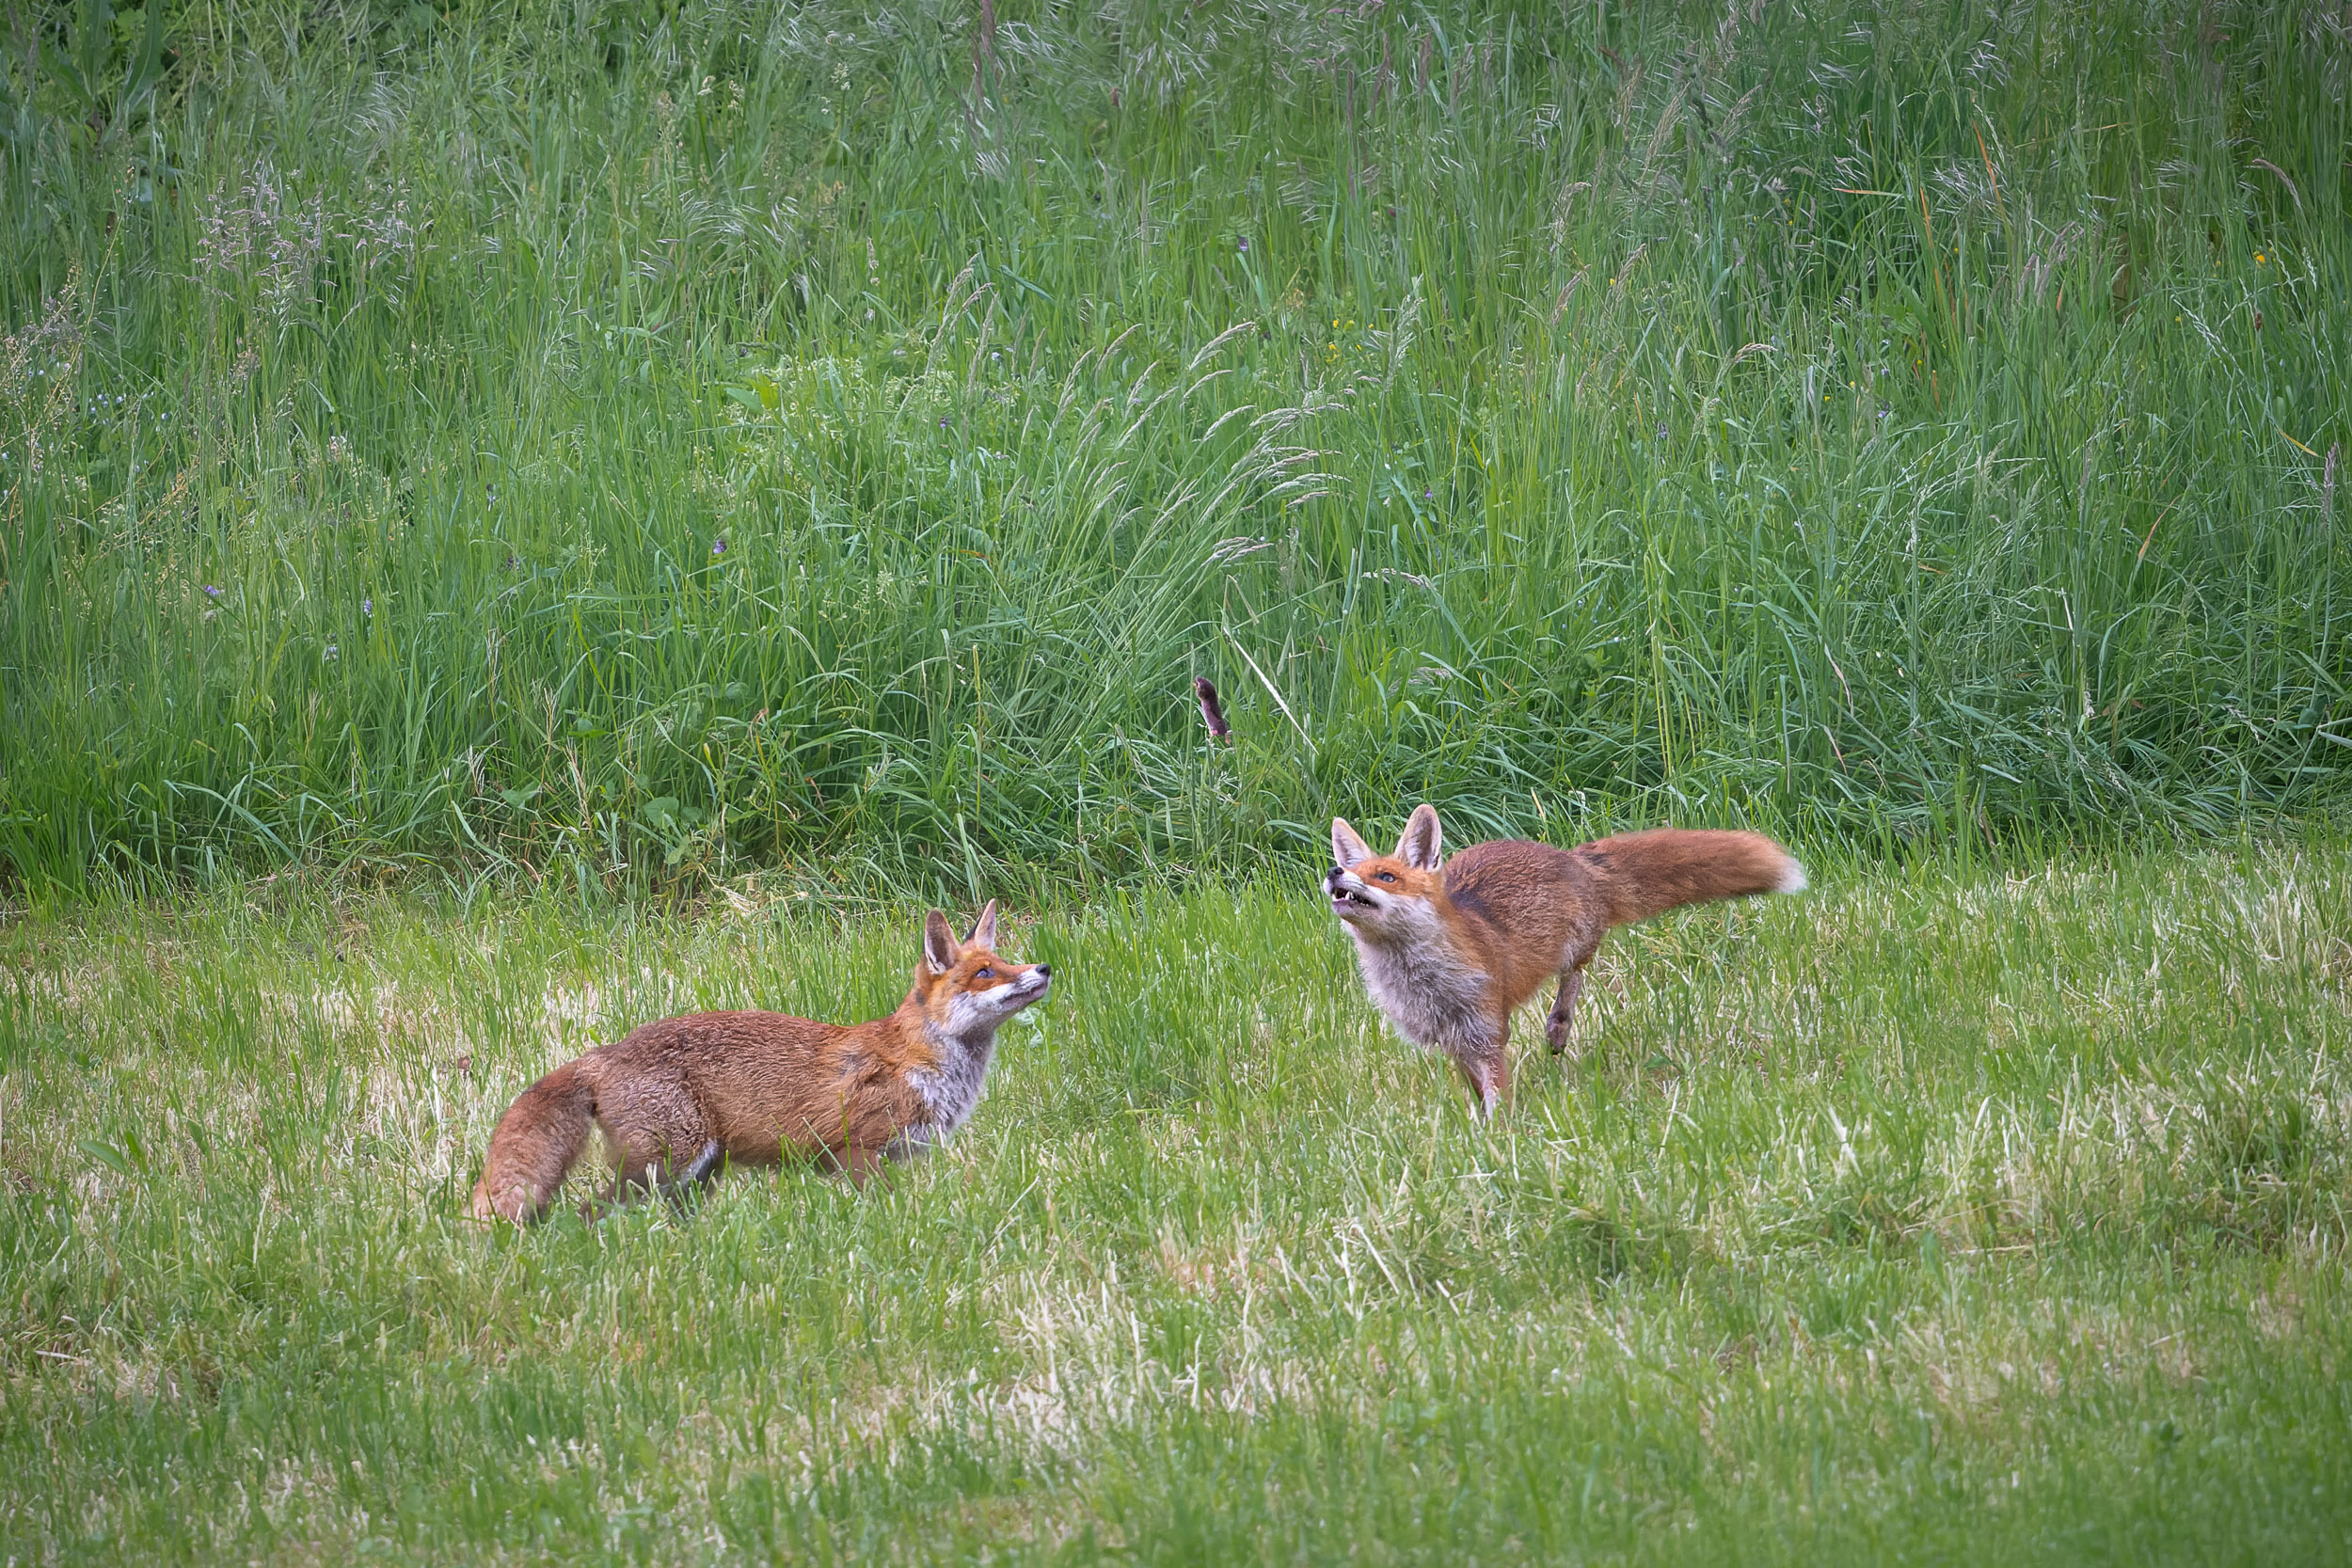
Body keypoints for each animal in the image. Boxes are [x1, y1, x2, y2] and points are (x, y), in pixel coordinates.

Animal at [466, 902, 1049, 1222]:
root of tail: (609, 1051)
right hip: (663, 1166)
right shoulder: (859, 1152)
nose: (1043, 968)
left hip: (698, 1176)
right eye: (984, 974)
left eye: (1006, 960)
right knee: (586, 1214)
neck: (921, 1063)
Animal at [1327, 808, 1797, 1114]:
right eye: (1353, 869)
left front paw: (1500, 1144)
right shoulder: (1454, 1042)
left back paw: (1559, 1026)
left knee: (1577, 973)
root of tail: (1570, 856)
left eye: (1386, 877)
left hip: (1575, 945)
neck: (1423, 985)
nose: (1333, 872)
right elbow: (1478, 1095)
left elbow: (1498, 1100)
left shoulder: (1487, 1032)